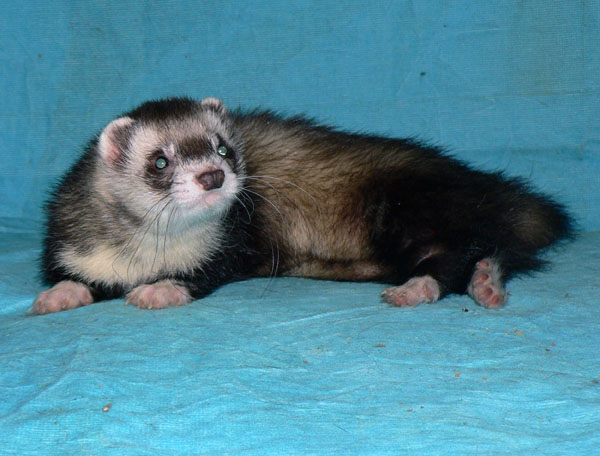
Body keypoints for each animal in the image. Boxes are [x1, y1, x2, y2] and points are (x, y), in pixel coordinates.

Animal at [31, 97, 573, 314]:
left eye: (223, 147)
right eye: (159, 160)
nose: (212, 175)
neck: (146, 254)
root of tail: (485, 184)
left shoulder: (233, 245)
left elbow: (206, 272)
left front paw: (161, 289)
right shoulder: (75, 249)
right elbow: (77, 277)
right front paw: (60, 295)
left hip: (410, 208)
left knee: (462, 252)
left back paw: (430, 287)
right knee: (496, 250)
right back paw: (485, 282)